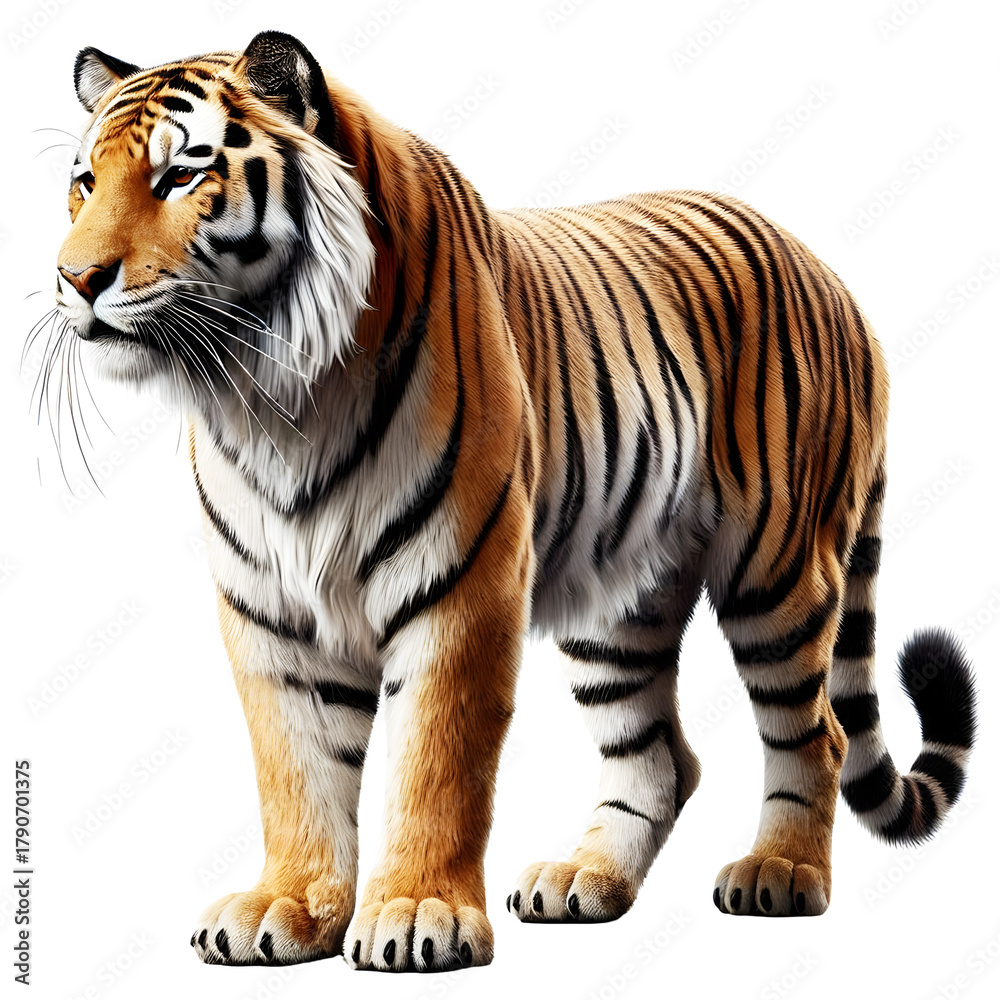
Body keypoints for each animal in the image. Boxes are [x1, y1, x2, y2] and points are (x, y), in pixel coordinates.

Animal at [46, 30, 976, 972]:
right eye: (83, 181)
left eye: (179, 175)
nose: (74, 278)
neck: (271, 399)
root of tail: (836, 281)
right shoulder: (269, 612)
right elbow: (295, 768)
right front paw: (288, 906)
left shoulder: (461, 583)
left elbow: (435, 763)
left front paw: (416, 913)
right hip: (621, 601)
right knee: (660, 757)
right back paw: (585, 880)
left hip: (777, 569)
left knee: (816, 734)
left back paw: (780, 872)